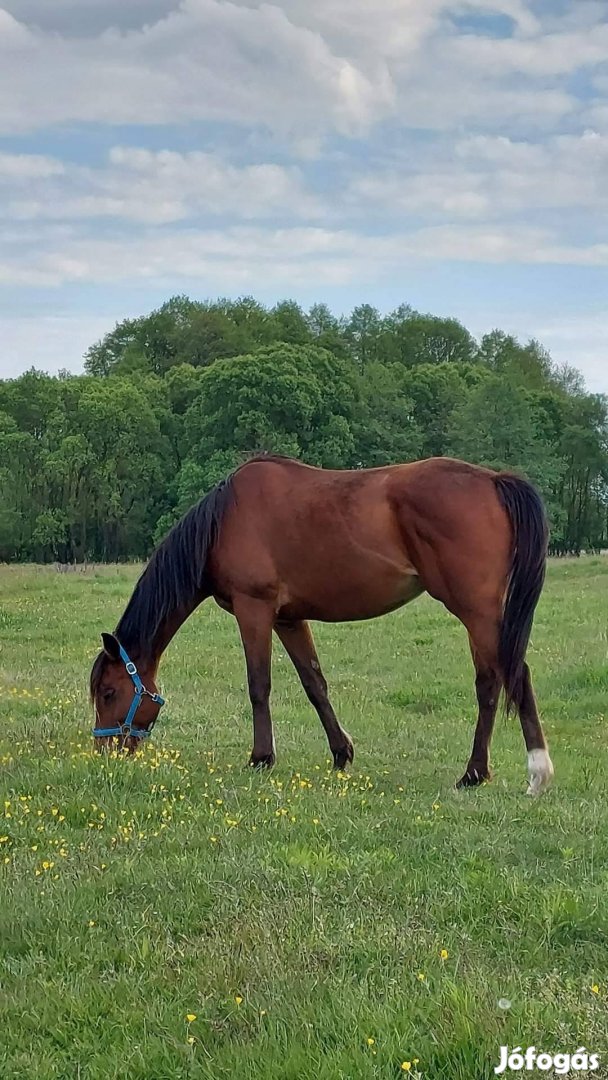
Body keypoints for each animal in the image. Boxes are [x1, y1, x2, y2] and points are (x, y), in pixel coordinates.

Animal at [91, 451, 557, 799]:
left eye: (109, 692)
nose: (105, 750)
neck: (224, 521)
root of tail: (494, 481)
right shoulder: (289, 619)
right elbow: (315, 684)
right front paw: (341, 753)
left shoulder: (254, 609)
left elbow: (258, 685)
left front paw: (261, 758)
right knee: (494, 680)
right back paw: (483, 772)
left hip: (476, 612)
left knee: (507, 675)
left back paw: (520, 772)